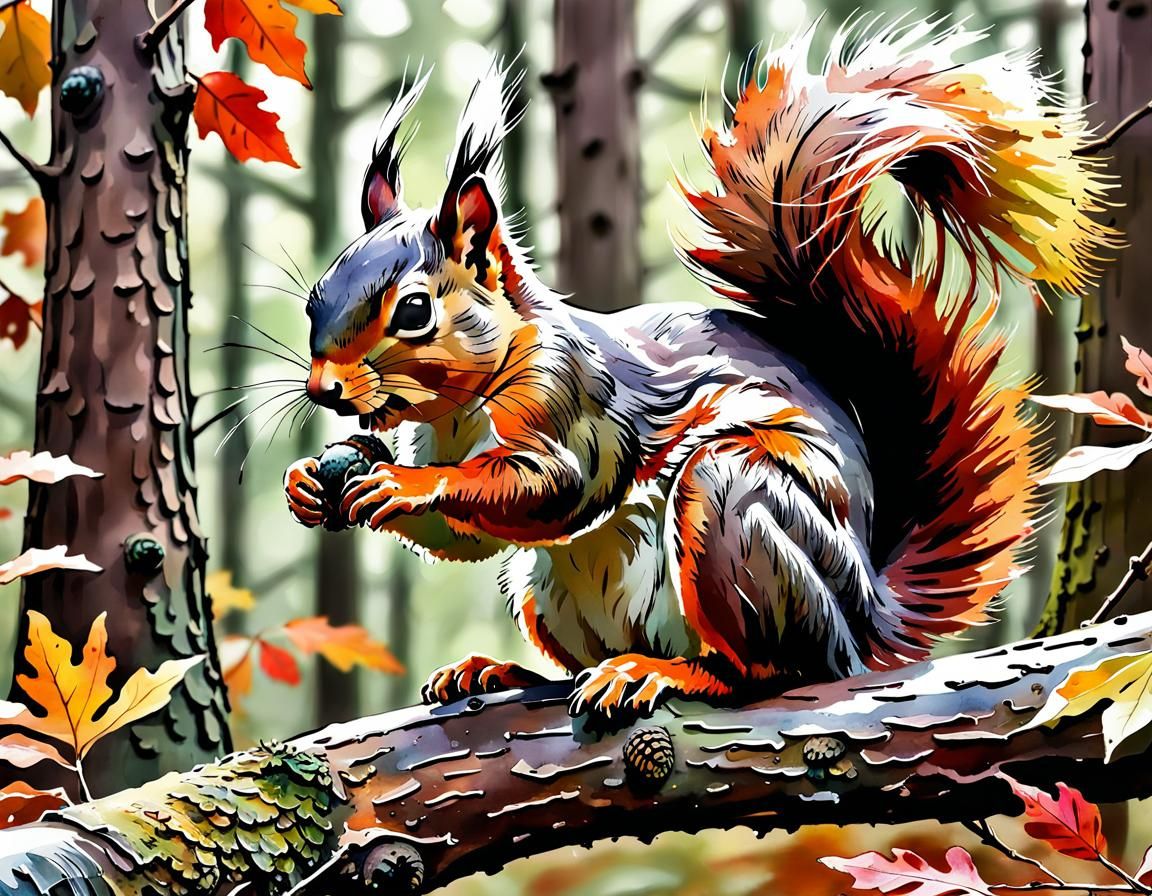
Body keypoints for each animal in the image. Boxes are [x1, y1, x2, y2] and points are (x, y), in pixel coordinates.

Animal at [284, 22, 1117, 722]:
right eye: (315, 297)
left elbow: (557, 485)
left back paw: (667, 673)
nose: (325, 390)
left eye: (415, 310)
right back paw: (506, 672)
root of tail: (867, 617)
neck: (459, 408)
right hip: (545, 592)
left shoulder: (577, 401)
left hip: (735, 516)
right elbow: (462, 539)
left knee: (778, 668)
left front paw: (405, 483)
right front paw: (317, 480)